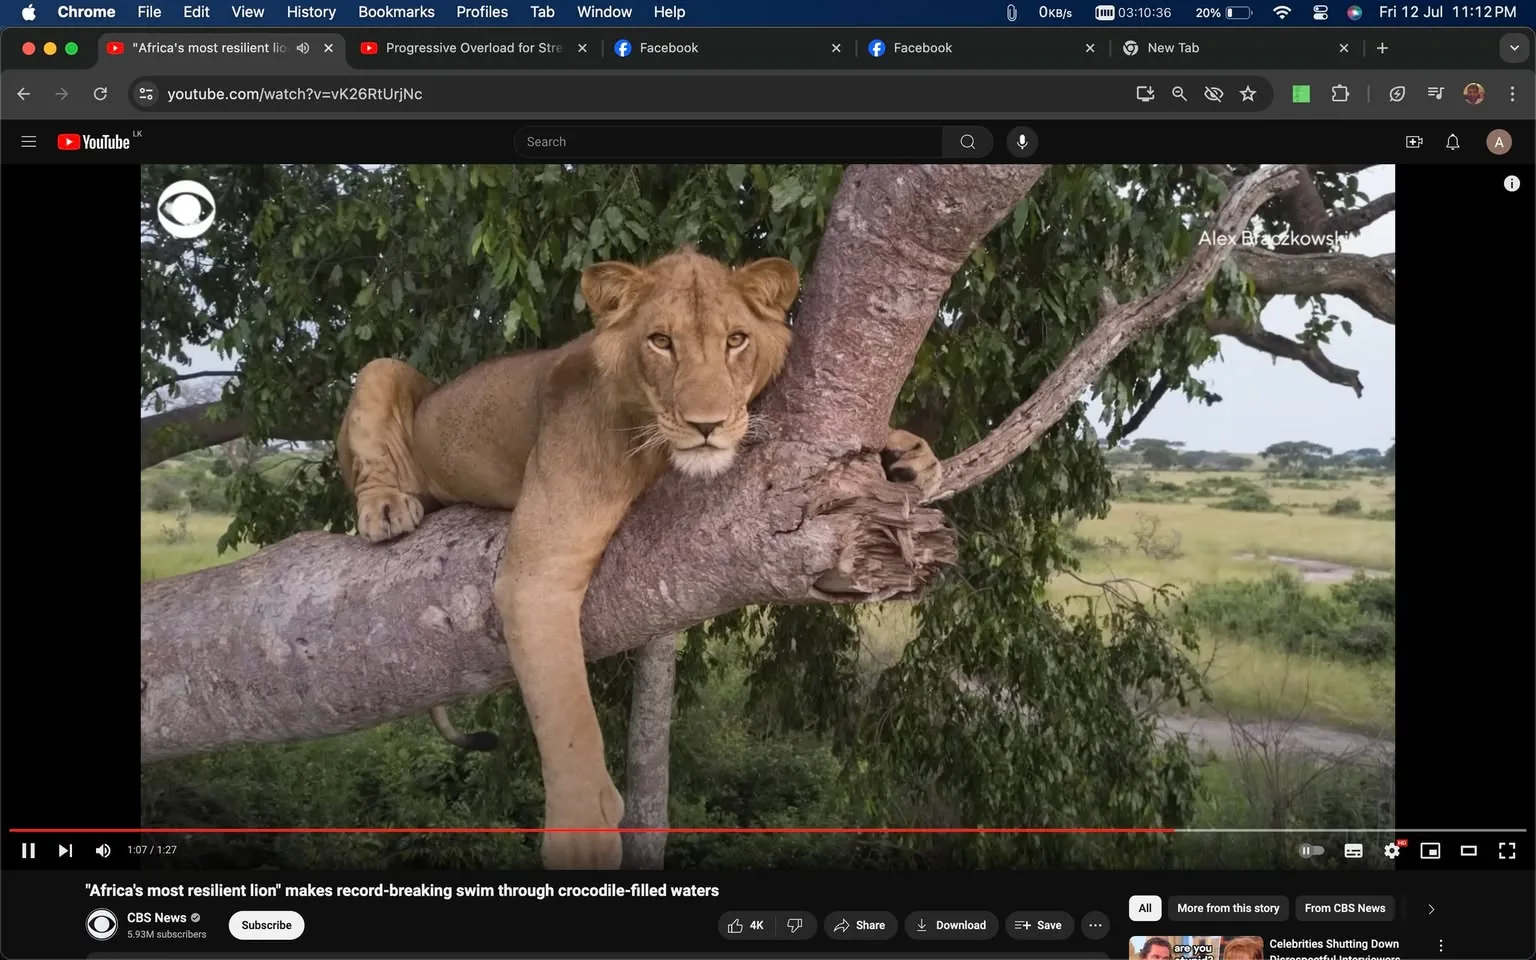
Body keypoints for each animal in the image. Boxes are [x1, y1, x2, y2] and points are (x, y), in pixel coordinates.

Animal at [336, 246, 943, 869]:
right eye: (660, 342)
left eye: (736, 340)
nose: (707, 425)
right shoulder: (536, 573)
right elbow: (566, 713)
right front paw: (582, 835)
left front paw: (907, 454)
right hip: (382, 372)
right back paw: (387, 508)